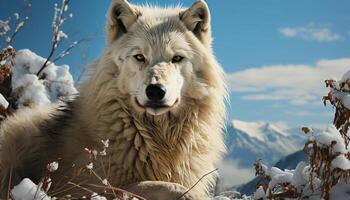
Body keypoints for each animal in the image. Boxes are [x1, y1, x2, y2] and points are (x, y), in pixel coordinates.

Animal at [0, 0, 227, 198]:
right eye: (139, 57)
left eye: (177, 58)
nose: (155, 91)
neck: (157, 137)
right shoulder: (82, 186)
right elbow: (161, 186)